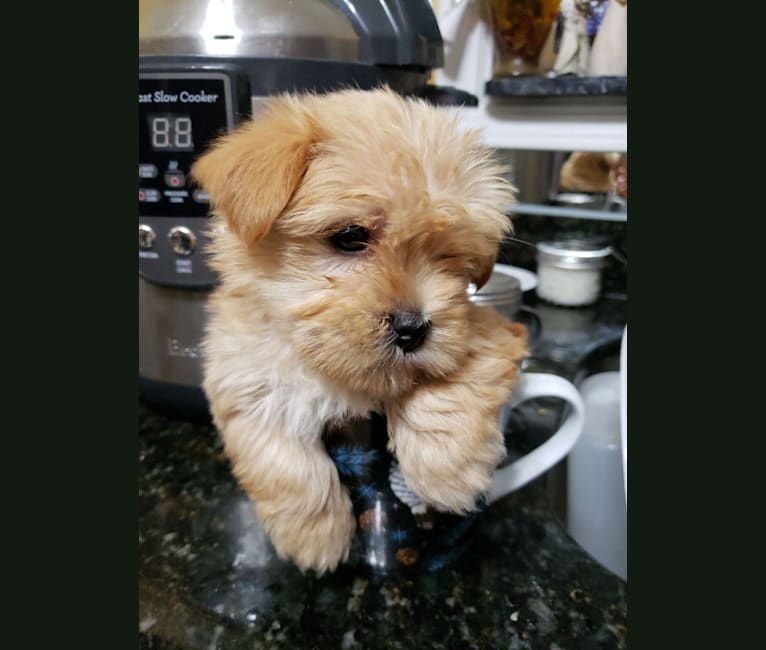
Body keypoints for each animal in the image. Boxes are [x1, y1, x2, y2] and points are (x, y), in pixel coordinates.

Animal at [192, 87, 528, 572]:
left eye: (450, 257)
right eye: (350, 236)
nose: (413, 328)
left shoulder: (485, 330)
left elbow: (447, 384)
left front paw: (447, 473)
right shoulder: (242, 374)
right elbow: (280, 455)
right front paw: (315, 537)